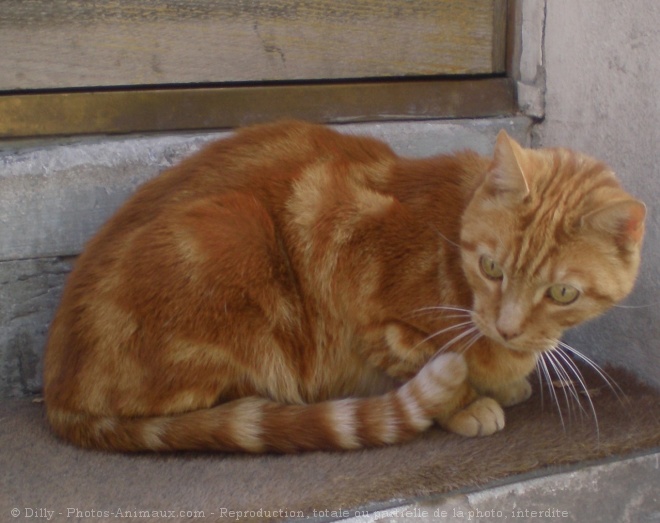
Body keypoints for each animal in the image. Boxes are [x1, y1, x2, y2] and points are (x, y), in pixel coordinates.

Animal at [42, 121, 644, 452]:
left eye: (562, 294)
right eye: (491, 267)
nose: (507, 327)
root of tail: (57, 393)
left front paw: (507, 379)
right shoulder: (344, 237)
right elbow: (422, 355)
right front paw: (466, 401)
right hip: (233, 231)